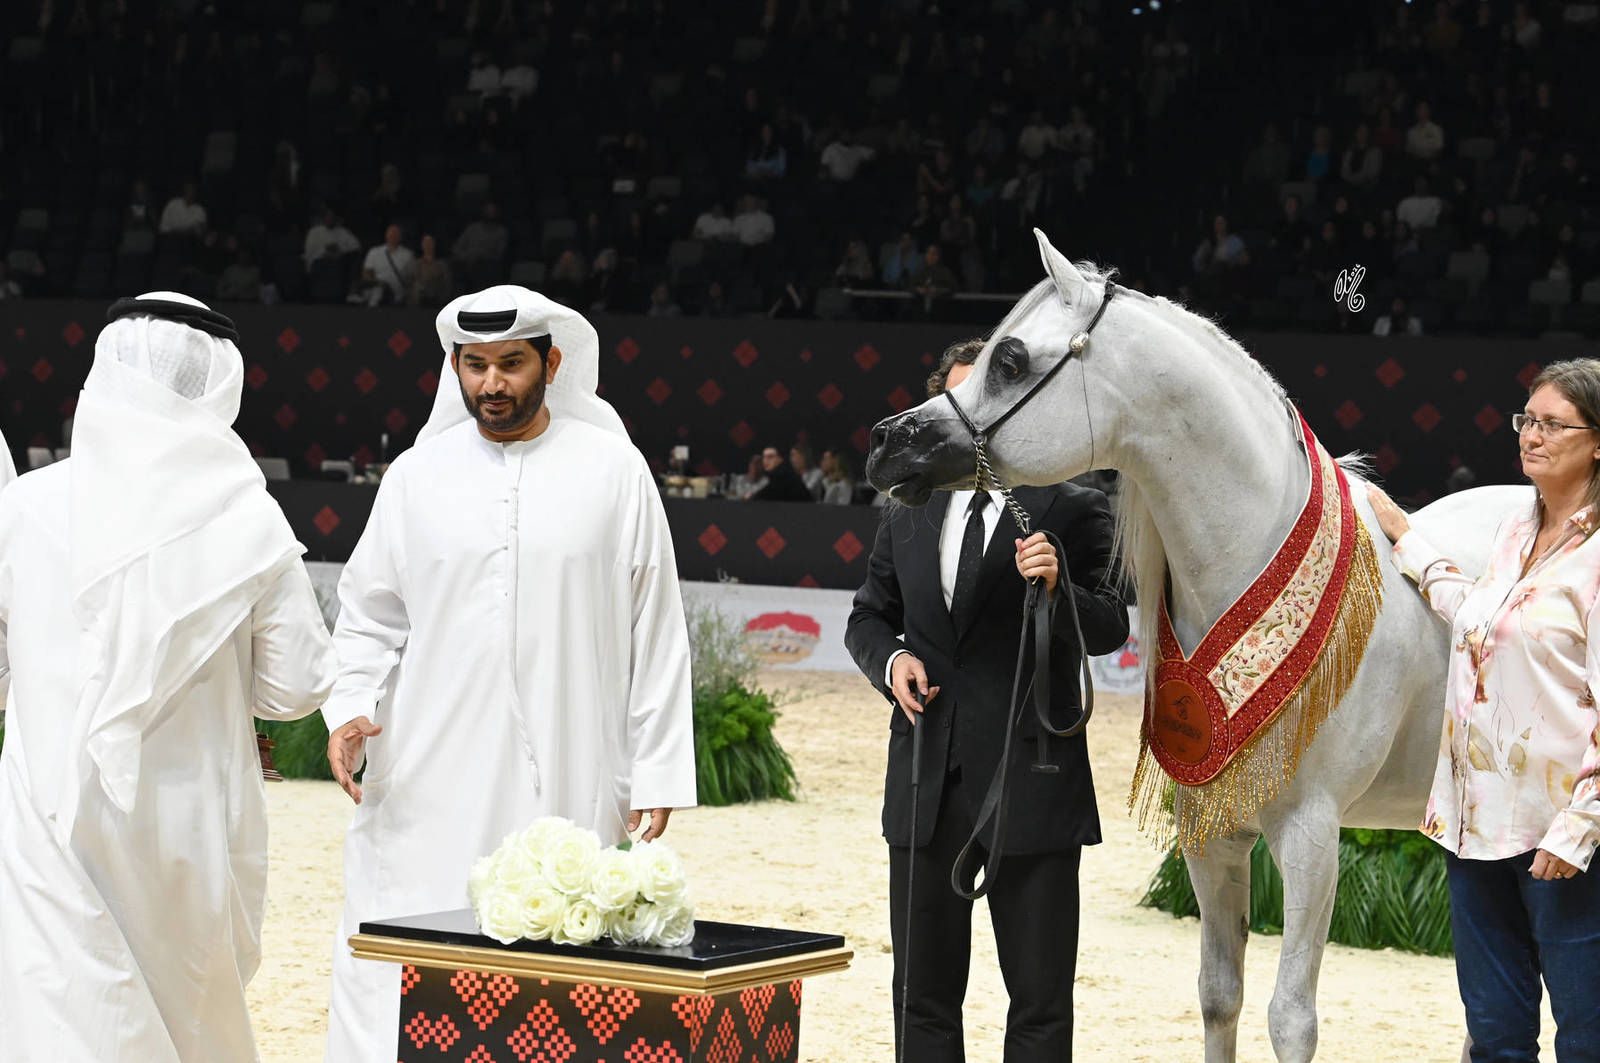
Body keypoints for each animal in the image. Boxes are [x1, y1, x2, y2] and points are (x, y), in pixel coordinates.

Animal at [864, 230, 1528, 1062]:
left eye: (1010, 359)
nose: (886, 443)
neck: (1258, 555)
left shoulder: (1312, 835)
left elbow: (1290, 1015)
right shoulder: (1210, 833)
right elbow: (1220, 994)